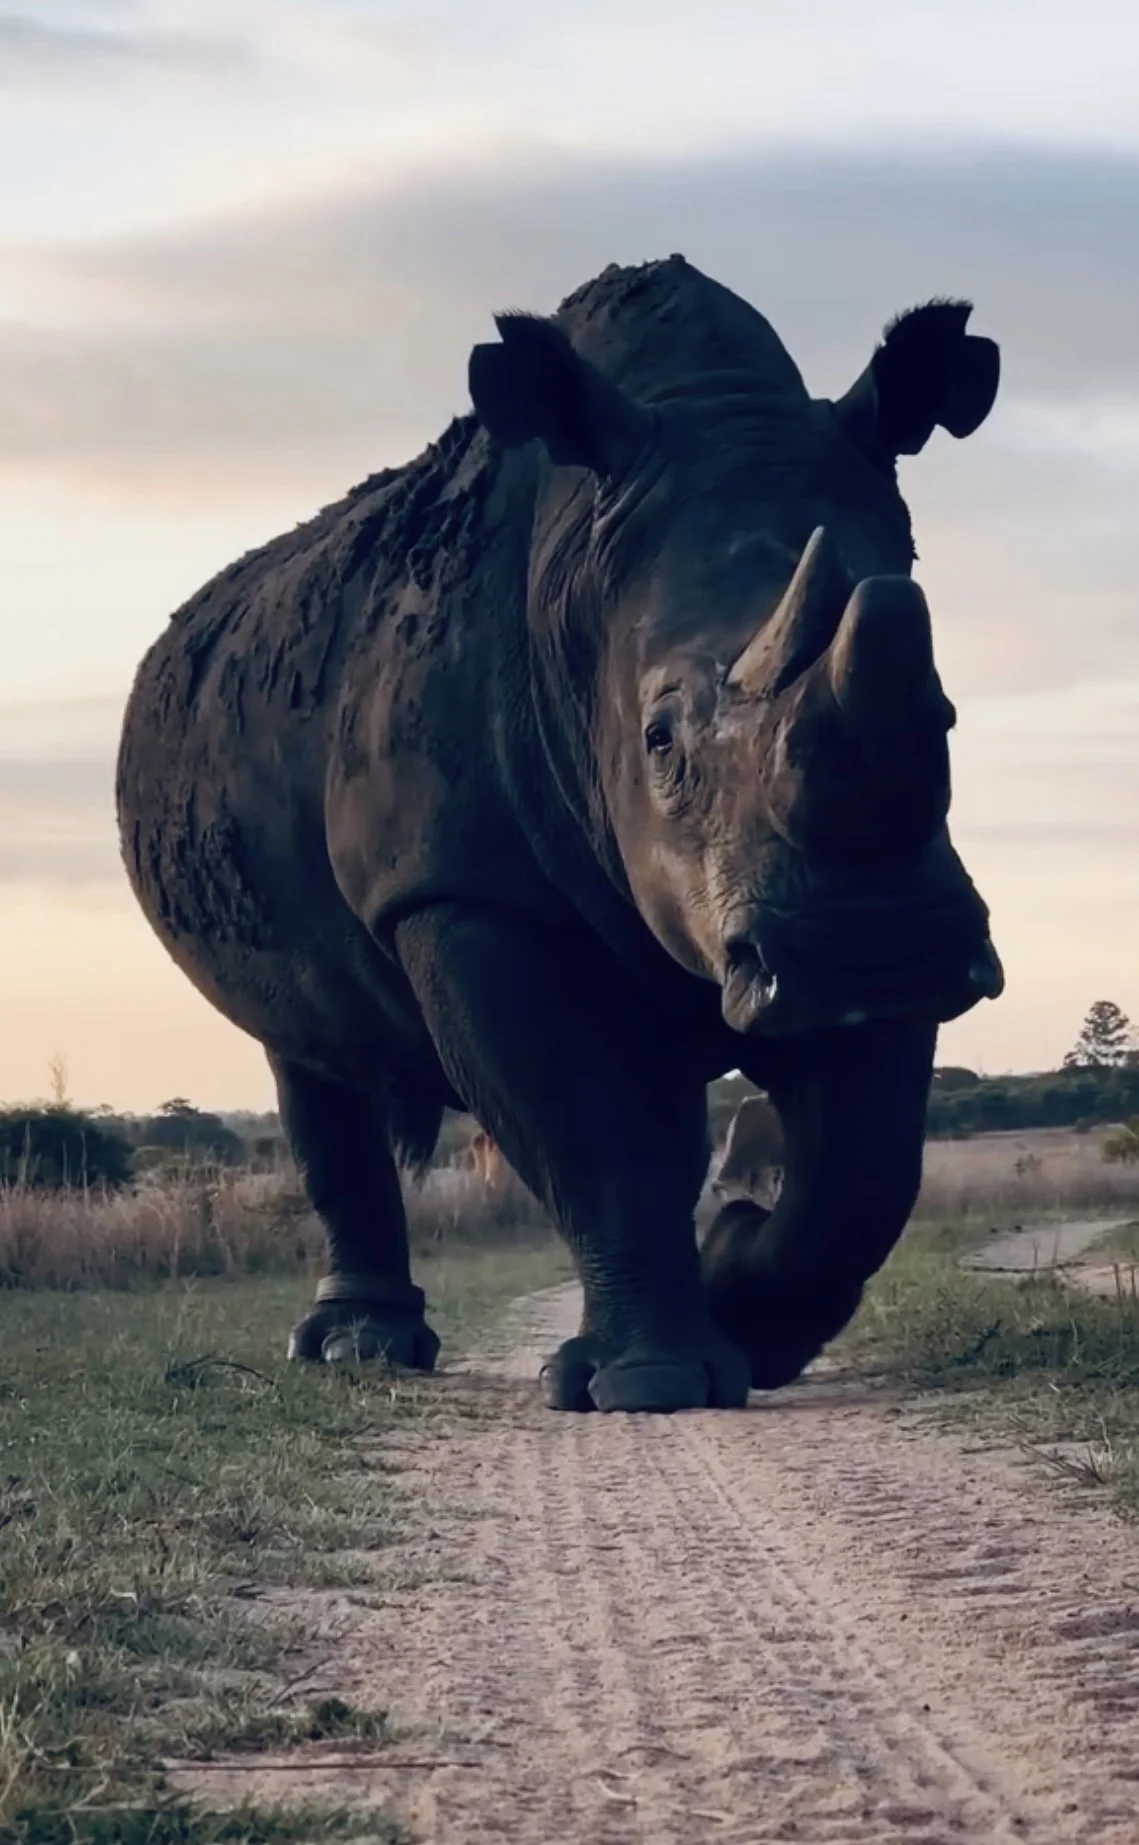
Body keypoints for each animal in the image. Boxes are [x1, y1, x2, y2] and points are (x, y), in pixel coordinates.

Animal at [116, 255, 1003, 1413]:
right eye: (659, 739)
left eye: (942, 711)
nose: (876, 955)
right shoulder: (454, 889)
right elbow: (581, 1129)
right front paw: (649, 1386)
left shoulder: (872, 892)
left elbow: (864, 1172)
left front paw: (740, 1295)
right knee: (308, 1050)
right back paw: (358, 1351)